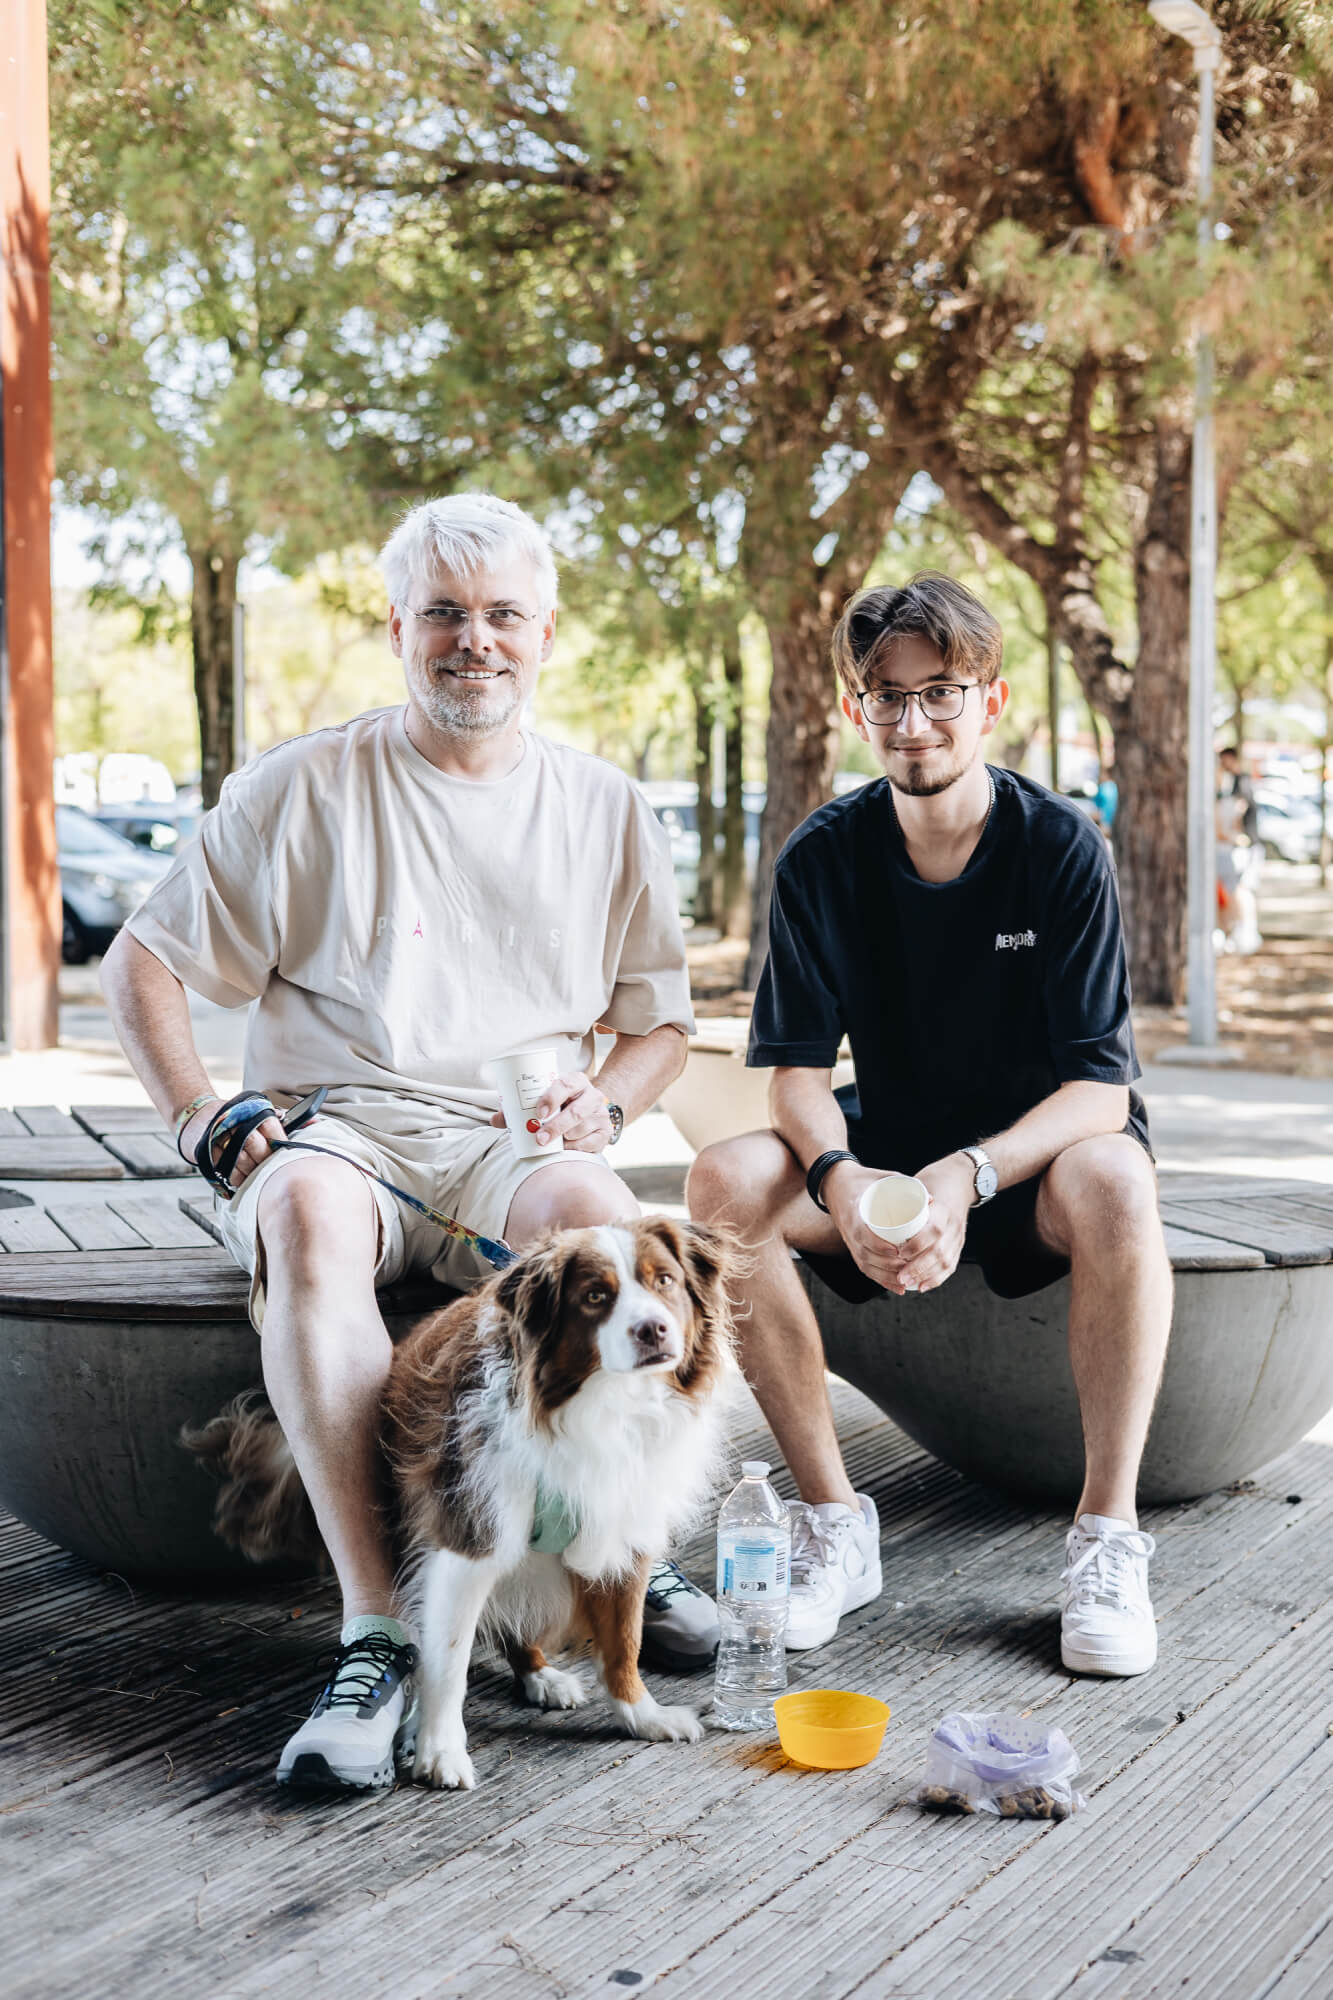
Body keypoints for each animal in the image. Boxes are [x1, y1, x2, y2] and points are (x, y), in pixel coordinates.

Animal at [191, 1216, 736, 1800]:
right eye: (595, 1296)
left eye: (665, 1281)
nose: (654, 1330)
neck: (603, 1406)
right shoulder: (466, 1536)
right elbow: (449, 1658)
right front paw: (439, 1751)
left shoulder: (621, 1524)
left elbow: (624, 1641)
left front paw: (643, 1716)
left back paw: (541, 1675)